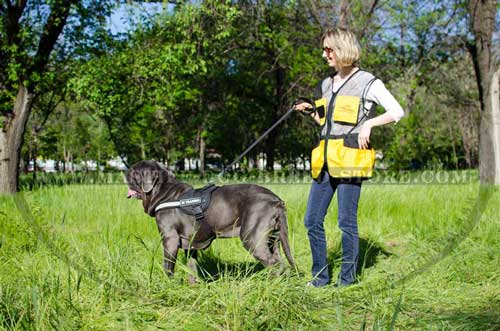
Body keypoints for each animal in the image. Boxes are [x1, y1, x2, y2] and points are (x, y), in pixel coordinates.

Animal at [127, 161, 294, 282]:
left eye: (134, 171)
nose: (125, 171)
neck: (164, 193)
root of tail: (276, 200)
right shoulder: (190, 246)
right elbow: (192, 269)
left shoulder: (170, 239)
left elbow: (168, 266)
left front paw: (167, 286)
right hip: (273, 239)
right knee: (280, 262)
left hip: (253, 238)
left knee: (274, 264)